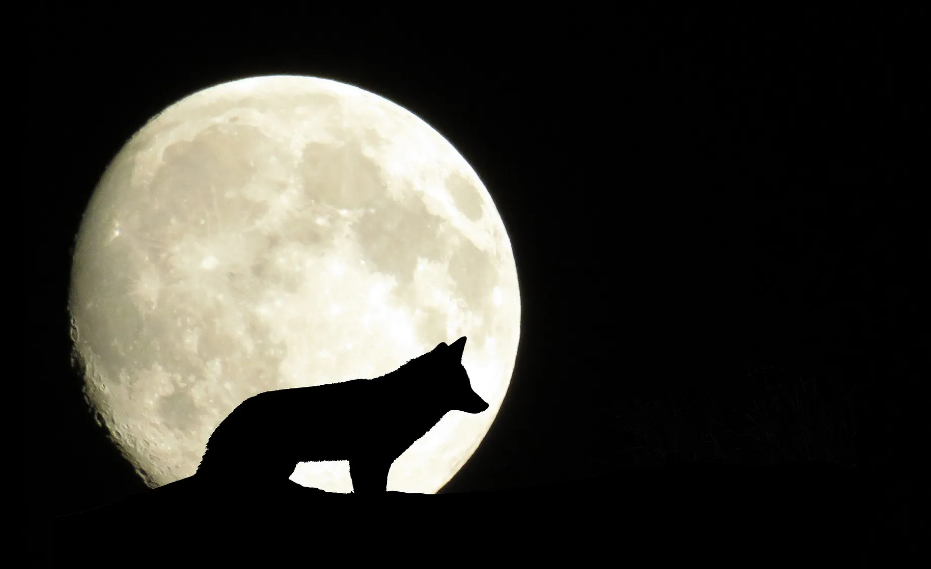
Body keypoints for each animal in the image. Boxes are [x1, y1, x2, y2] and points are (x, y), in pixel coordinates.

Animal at [196, 336, 488, 493]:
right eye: (463, 384)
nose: (485, 404)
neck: (403, 401)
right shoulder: (366, 460)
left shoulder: (376, 462)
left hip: (282, 464)